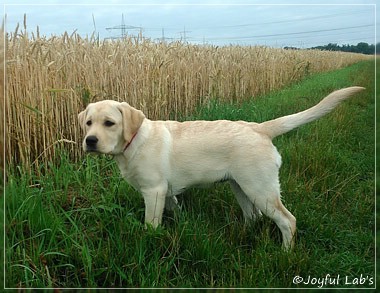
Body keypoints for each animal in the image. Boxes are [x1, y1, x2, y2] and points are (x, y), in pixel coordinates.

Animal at [78, 86, 366, 249]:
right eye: (88, 123)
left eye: (109, 123)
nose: (89, 141)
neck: (134, 140)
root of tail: (259, 128)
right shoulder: (166, 193)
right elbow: (177, 211)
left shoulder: (154, 191)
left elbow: (151, 224)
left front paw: (150, 240)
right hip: (241, 186)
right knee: (253, 216)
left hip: (260, 189)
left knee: (287, 220)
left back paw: (286, 253)